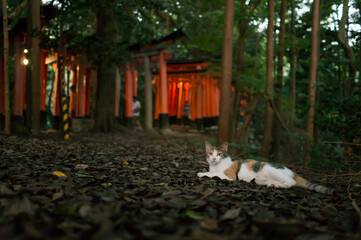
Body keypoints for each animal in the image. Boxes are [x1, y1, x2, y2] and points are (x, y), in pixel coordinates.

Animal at [195, 142, 334, 194]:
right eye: (210, 154)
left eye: (219, 154)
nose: (213, 159)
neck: (215, 166)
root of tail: (291, 170)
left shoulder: (230, 176)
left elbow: (214, 174)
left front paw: (202, 173)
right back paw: (274, 185)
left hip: (270, 169)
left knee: (292, 182)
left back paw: (278, 185)